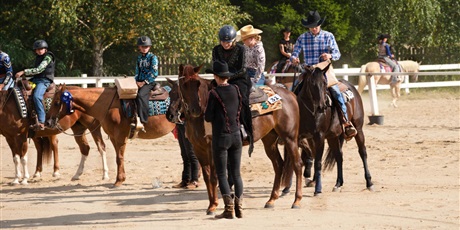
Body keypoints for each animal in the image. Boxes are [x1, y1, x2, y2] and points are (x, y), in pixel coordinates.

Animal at [45, 84, 176, 187]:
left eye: (57, 102)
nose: (47, 122)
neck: (109, 105)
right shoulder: (113, 137)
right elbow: (118, 157)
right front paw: (119, 179)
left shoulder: (121, 137)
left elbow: (120, 157)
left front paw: (119, 181)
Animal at [164, 63, 302, 215]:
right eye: (174, 90)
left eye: (197, 84)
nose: (171, 115)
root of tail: (290, 94)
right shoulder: (198, 149)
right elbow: (206, 178)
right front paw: (211, 204)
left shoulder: (212, 149)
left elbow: (214, 177)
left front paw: (214, 206)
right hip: (269, 140)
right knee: (278, 165)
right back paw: (271, 200)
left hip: (289, 138)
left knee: (297, 164)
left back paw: (297, 201)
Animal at [294, 63, 374, 196]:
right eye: (311, 82)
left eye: (324, 83)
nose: (322, 106)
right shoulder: (304, 137)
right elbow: (311, 155)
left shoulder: (319, 136)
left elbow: (318, 162)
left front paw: (318, 189)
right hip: (333, 136)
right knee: (339, 156)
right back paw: (338, 184)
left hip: (358, 128)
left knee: (362, 152)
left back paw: (369, 183)